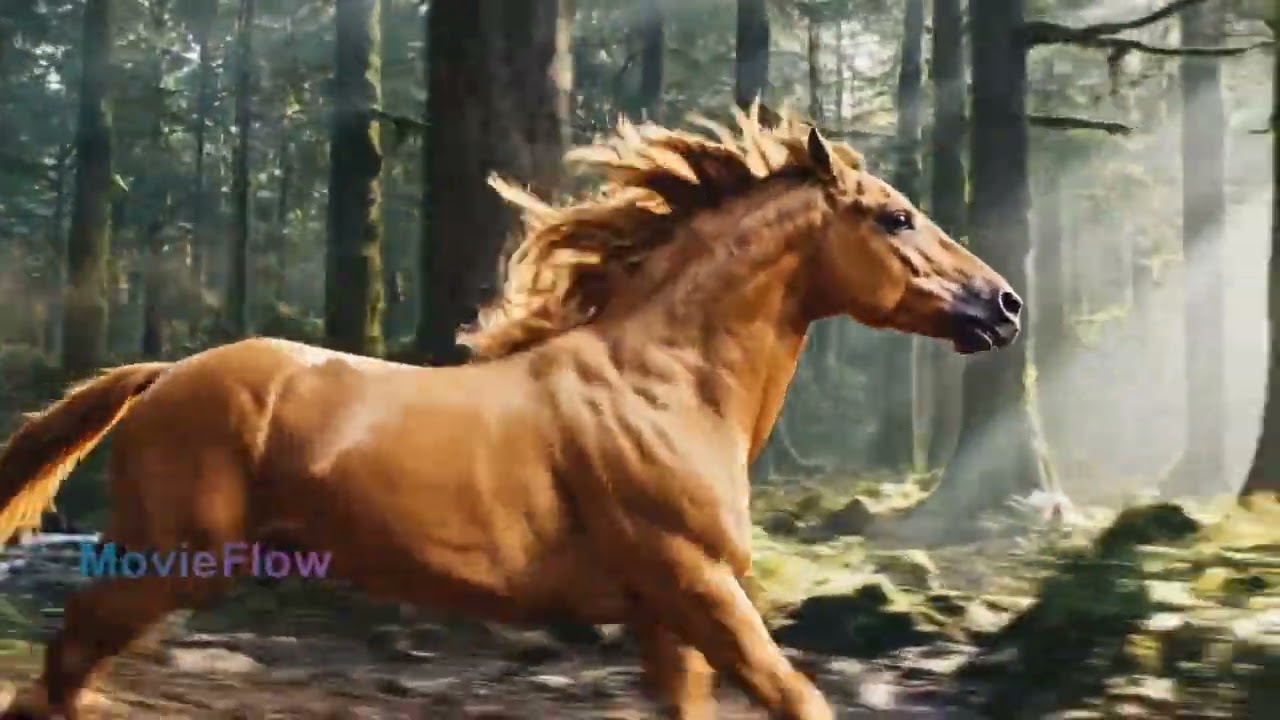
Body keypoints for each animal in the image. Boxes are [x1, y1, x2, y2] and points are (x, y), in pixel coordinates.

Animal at [0, 108, 1020, 720]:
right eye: (895, 217)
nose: (1004, 305)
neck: (669, 389)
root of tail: (165, 374)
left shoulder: (666, 614)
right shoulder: (697, 583)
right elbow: (798, 696)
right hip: (171, 561)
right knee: (60, 666)